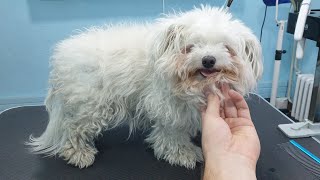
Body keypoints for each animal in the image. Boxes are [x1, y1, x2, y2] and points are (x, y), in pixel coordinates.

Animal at [26, 5, 262, 169]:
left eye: (227, 48)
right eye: (191, 47)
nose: (208, 60)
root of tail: (61, 57)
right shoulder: (168, 107)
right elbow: (172, 134)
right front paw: (182, 153)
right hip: (90, 105)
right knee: (73, 129)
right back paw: (78, 153)